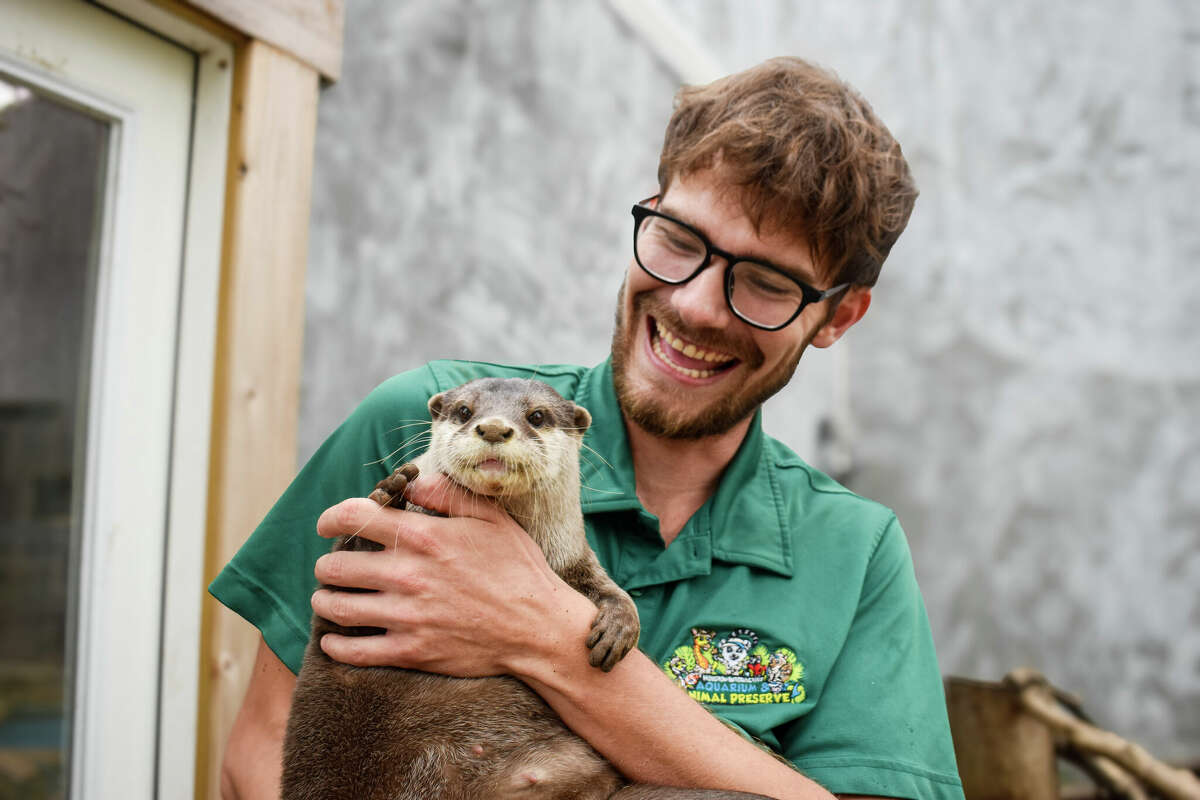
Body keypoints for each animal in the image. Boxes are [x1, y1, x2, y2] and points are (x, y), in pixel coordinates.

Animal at [278, 379, 768, 796]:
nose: (494, 427)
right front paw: (392, 493)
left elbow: (609, 589)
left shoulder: (573, 561)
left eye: (536, 415)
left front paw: (618, 626)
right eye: (464, 410)